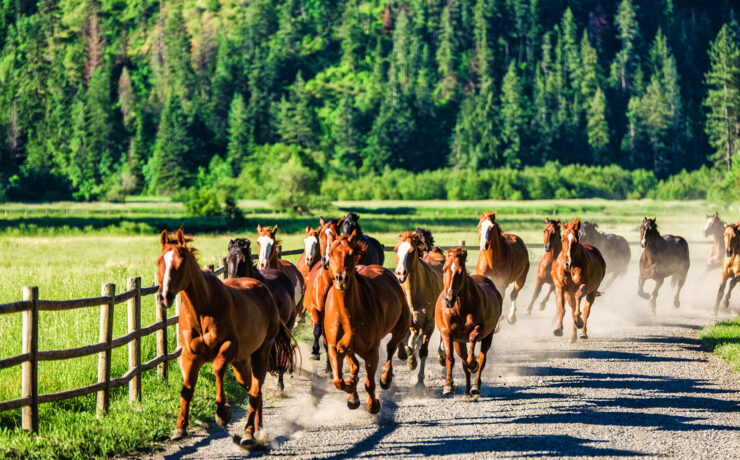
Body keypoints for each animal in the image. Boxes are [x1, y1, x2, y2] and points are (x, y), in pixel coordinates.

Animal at [324, 232, 411, 413]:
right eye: (330, 254)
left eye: (351, 254)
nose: (341, 279)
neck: (346, 314)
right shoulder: (334, 347)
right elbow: (339, 380)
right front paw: (352, 392)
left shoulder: (371, 351)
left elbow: (369, 383)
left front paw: (373, 405)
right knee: (355, 364)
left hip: (401, 326)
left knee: (391, 348)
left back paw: (386, 378)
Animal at [394, 231, 444, 387]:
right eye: (395, 250)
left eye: (411, 251)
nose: (400, 273)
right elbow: (408, 344)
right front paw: (410, 359)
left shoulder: (429, 324)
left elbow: (423, 351)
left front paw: (420, 380)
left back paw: (442, 355)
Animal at [436, 248, 502, 398]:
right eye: (444, 269)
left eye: (461, 272)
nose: (448, 299)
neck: (459, 308)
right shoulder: (448, 334)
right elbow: (450, 359)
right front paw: (448, 386)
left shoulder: (479, 329)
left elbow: (473, 343)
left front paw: (473, 364)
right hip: (459, 342)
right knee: (464, 363)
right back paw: (466, 391)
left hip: (488, 336)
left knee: (482, 358)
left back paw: (476, 386)